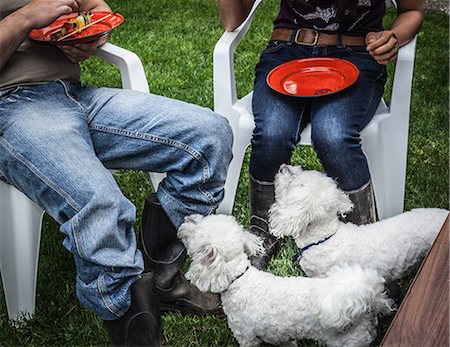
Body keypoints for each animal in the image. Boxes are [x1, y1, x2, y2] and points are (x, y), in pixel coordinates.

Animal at [179, 215, 394, 347]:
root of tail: (367, 298)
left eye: (197, 230)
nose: (186, 218)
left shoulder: (246, 336)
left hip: (348, 342)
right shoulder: (279, 335)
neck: (241, 280)